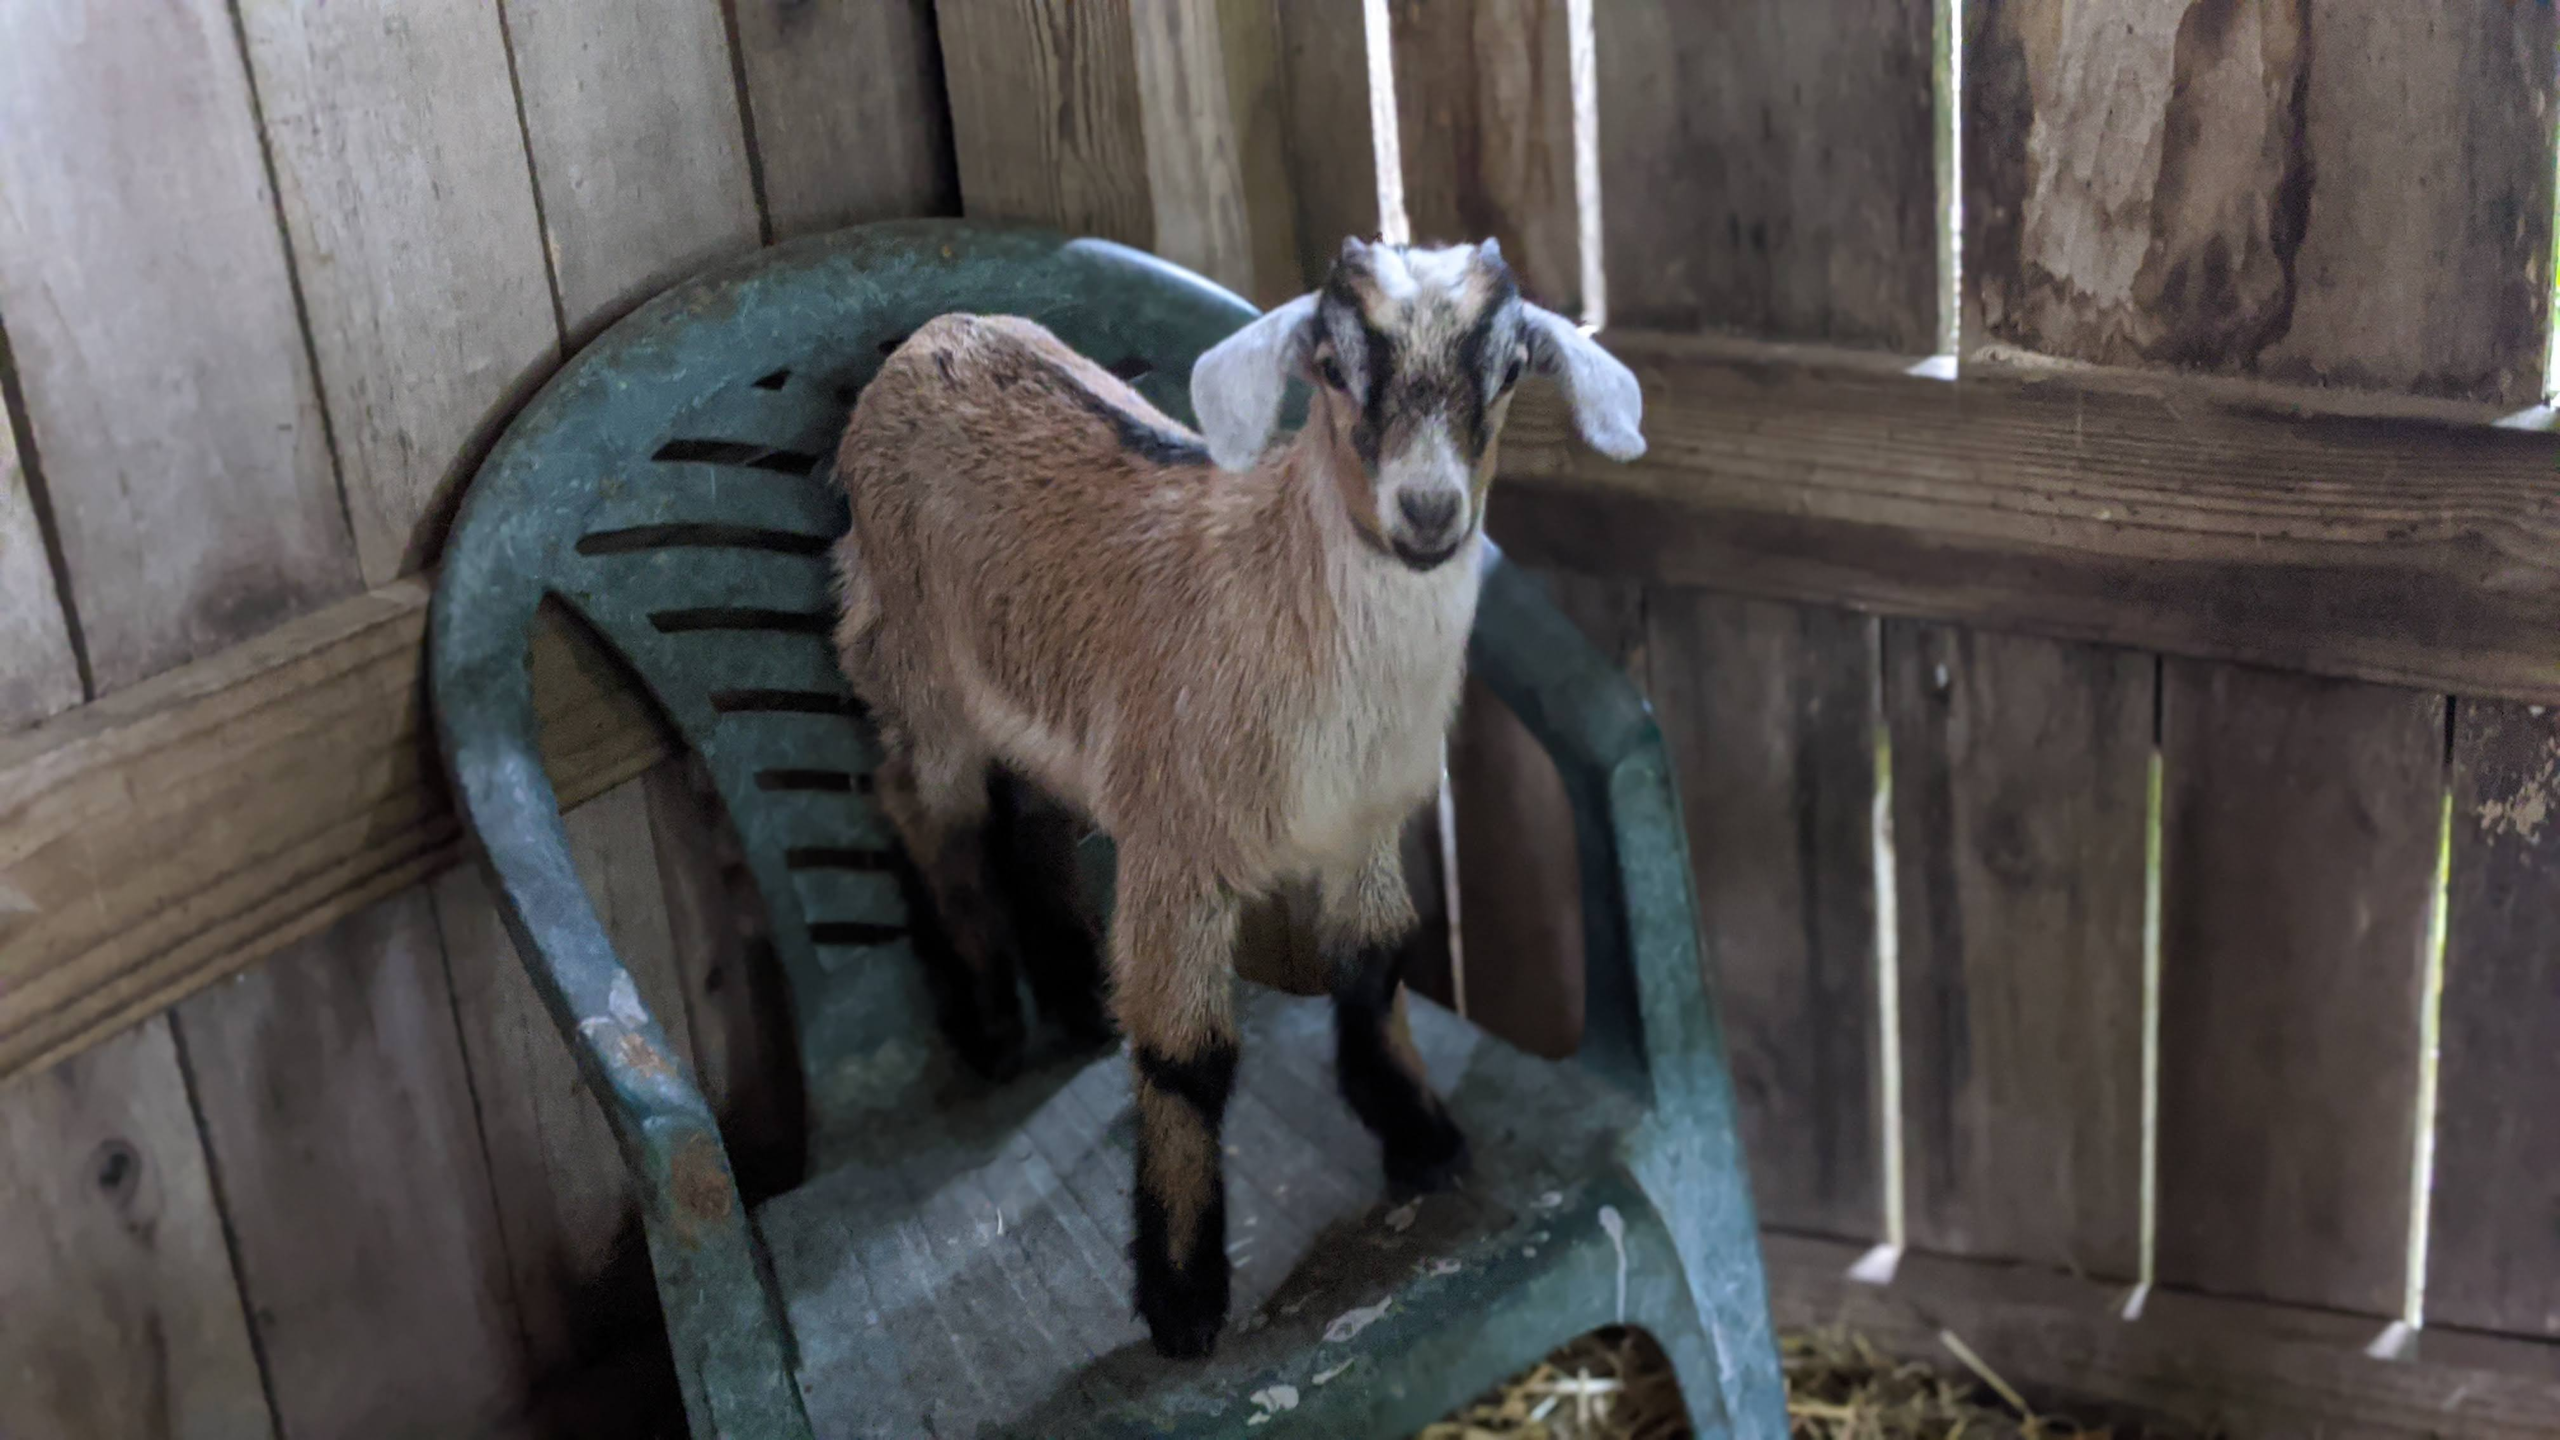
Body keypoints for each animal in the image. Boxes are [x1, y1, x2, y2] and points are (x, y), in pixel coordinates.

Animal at [828, 236, 1644, 1358]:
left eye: (1510, 367)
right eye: (1333, 366)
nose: (1429, 511)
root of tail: (936, 333)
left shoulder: (1362, 831)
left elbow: (1374, 966)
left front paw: (1420, 1137)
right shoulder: (1177, 850)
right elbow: (1188, 1058)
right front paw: (1181, 1294)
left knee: (1028, 815)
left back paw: (1073, 1001)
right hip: (914, 663)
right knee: (925, 812)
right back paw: (990, 1023)